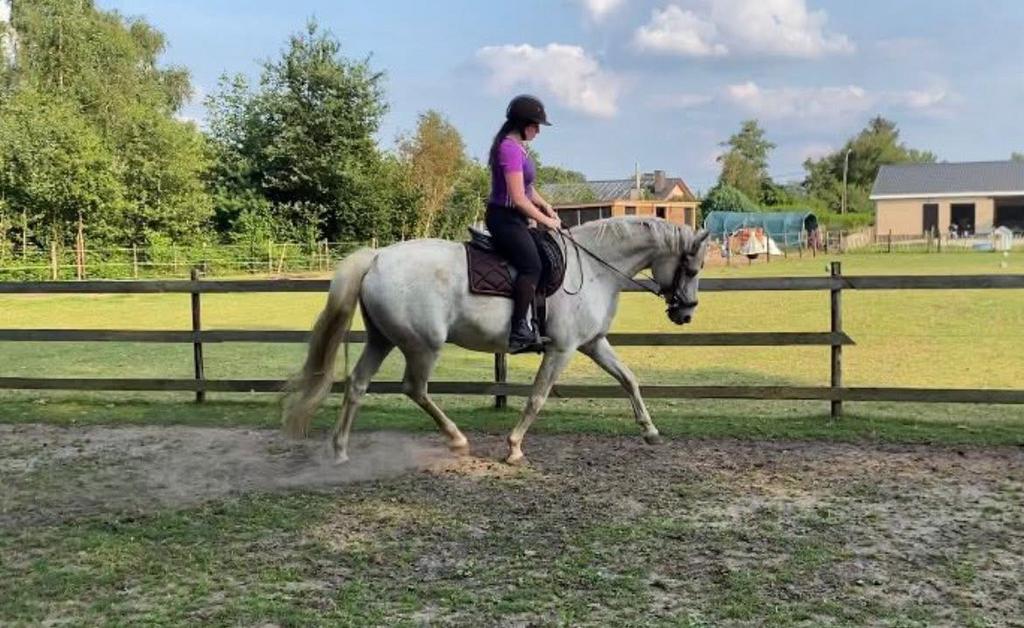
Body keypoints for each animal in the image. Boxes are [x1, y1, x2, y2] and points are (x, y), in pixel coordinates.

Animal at [282, 216, 709, 465]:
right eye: (692, 268)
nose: (686, 314)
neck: (593, 268)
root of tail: (377, 257)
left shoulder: (593, 343)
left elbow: (629, 379)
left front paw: (650, 432)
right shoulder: (562, 349)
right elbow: (537, 397)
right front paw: (514, 447)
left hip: (381, 340)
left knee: (357, 385)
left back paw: (340, 450)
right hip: (423, 346)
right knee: (414, 388)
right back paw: (457, 440)